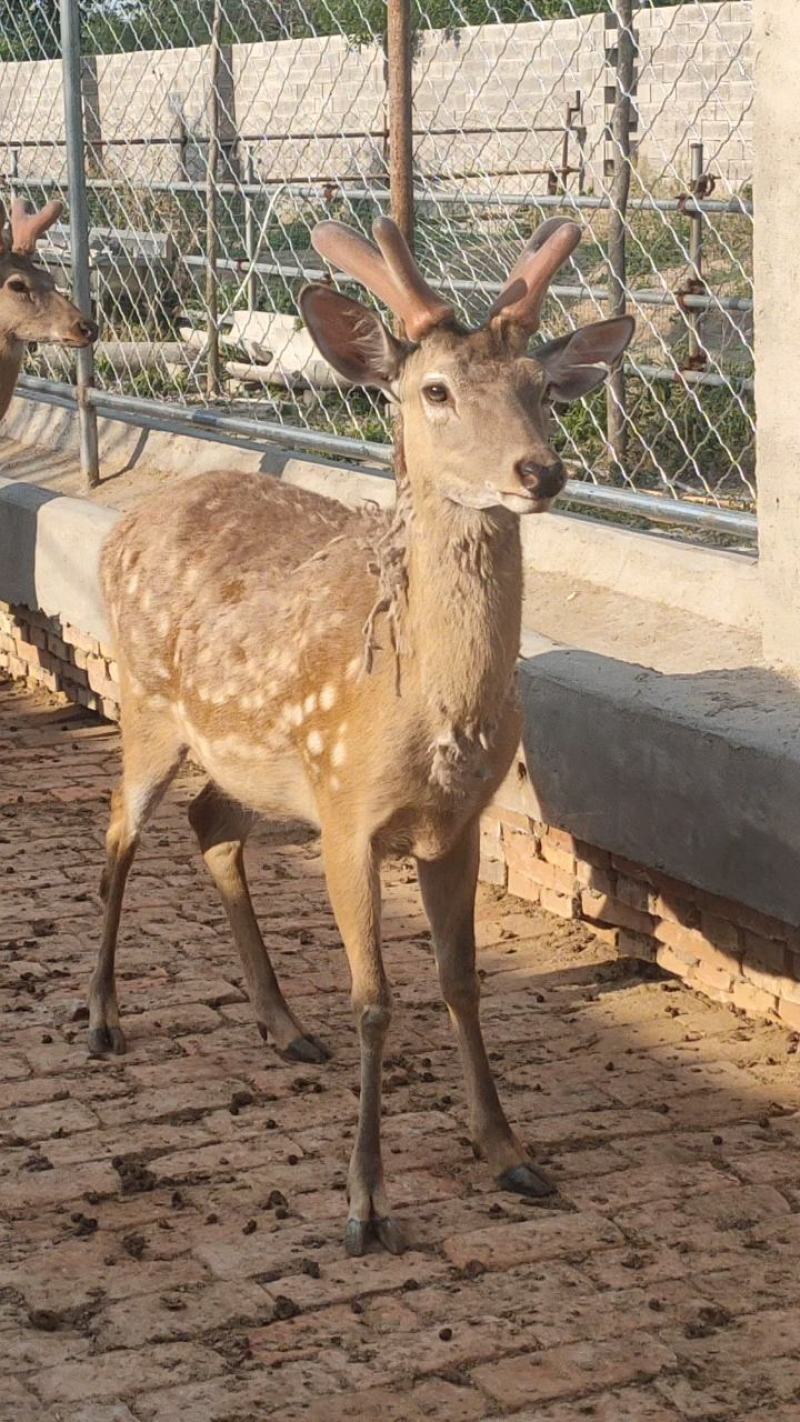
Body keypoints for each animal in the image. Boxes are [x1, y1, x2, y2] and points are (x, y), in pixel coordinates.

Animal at [91, 214, 633, 1256]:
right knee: (119, 836)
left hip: (258, 765)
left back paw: (281, 1022)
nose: (540, 471)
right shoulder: (347, 812)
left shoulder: (457, 823)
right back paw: (99, 1018)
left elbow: (461, 981)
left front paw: (508, 1152)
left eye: (542, 388)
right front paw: (365, 1203)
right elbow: (375, 1002)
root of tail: (125, 522)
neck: (429, 714)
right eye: (436, 390)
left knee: (210, 825)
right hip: (148, 703)